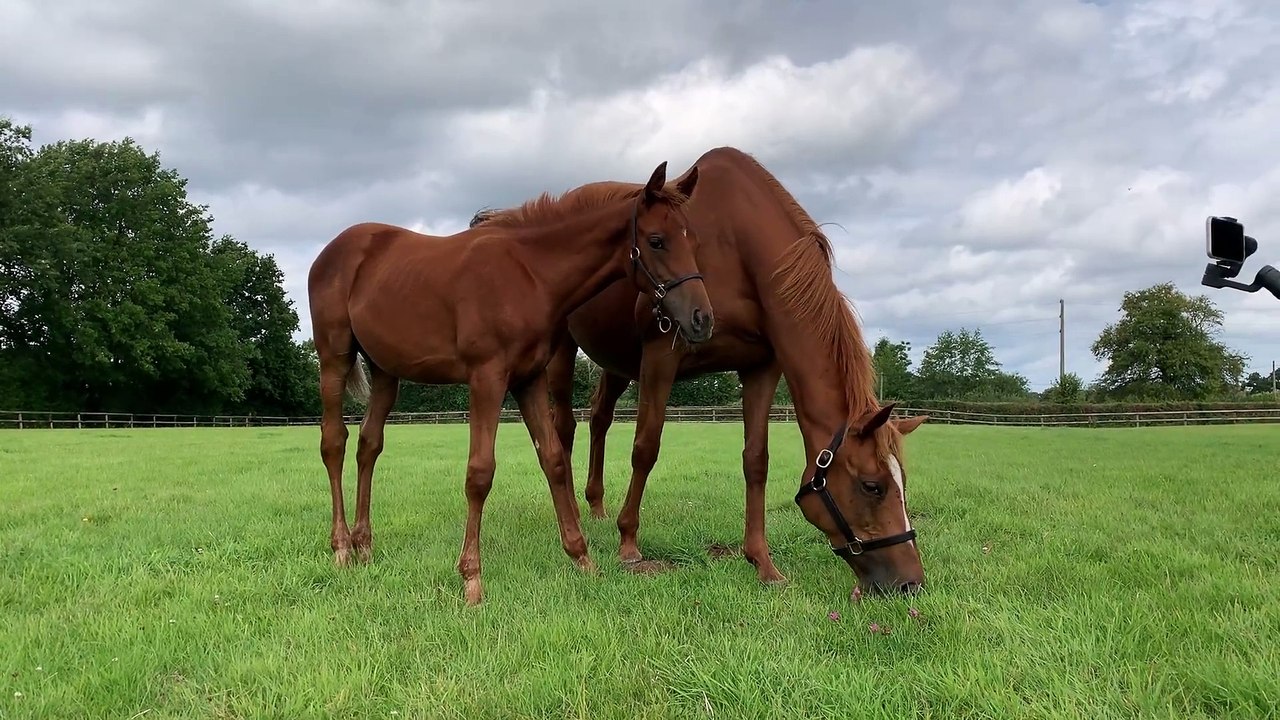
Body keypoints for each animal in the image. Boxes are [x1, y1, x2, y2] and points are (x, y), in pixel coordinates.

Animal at [307, 161, 713, 605]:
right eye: (656, 241)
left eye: (693, 239)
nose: (702, 319)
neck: (529, 274)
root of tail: (332, 251)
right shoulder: (487, 377)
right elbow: (480, 473)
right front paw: (471, 579)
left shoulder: (528, 379)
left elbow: (553, 460)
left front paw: (582, 558)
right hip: (335, 359)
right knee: (333, 443)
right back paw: (341, 547)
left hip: (385, 371)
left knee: (369, 444)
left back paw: (364, 544)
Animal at [470, 147, 928, 597]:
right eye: (873, 486)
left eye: (903, 482)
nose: (910, 582)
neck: (740, 248)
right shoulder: (661, 354)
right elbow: (645, 447)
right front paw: (628, 543)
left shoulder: (760, 367)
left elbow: (756, 460)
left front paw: (763, 563)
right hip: (564, 353)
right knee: (564, 426)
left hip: (618, 363)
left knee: (599, 416)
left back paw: (596, 505)